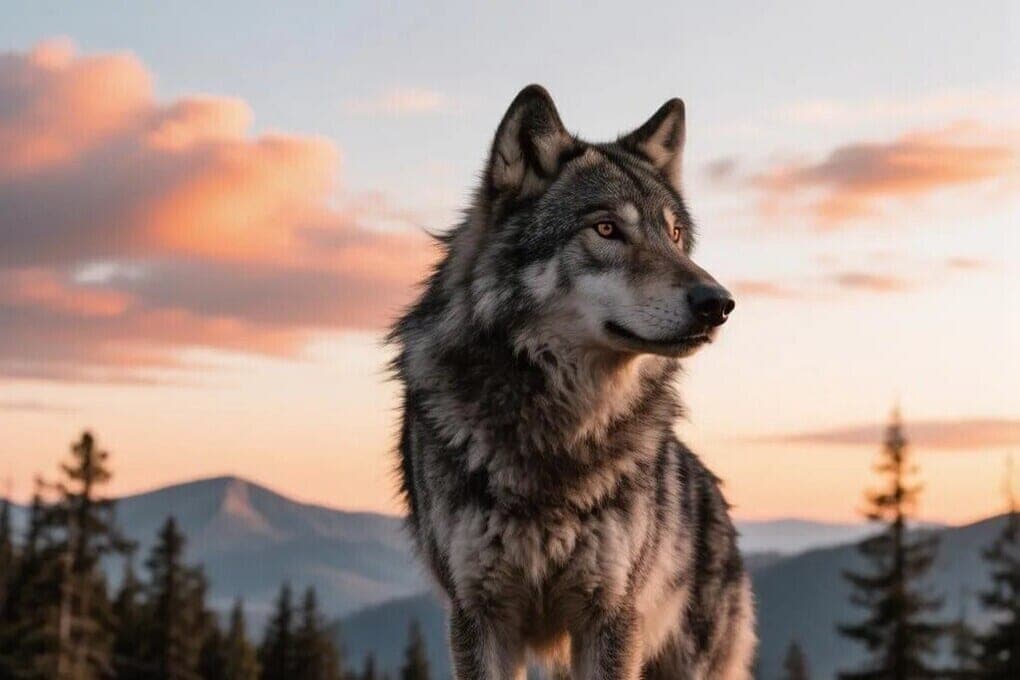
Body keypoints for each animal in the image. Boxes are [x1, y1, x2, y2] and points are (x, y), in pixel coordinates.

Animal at [389, 85, 755, 679]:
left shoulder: (609, 615)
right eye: (606, 228)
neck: (559, 423)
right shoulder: (480, 616)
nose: (718, 304)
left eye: (675, 235)